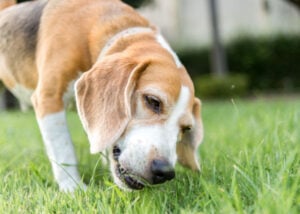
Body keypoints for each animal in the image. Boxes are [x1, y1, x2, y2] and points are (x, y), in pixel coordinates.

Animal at [0, 0, 204, 191]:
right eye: (153, 101)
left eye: (186, 128)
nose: (164, 172)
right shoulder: (49, 98)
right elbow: (63, 149)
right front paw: (73, 188)